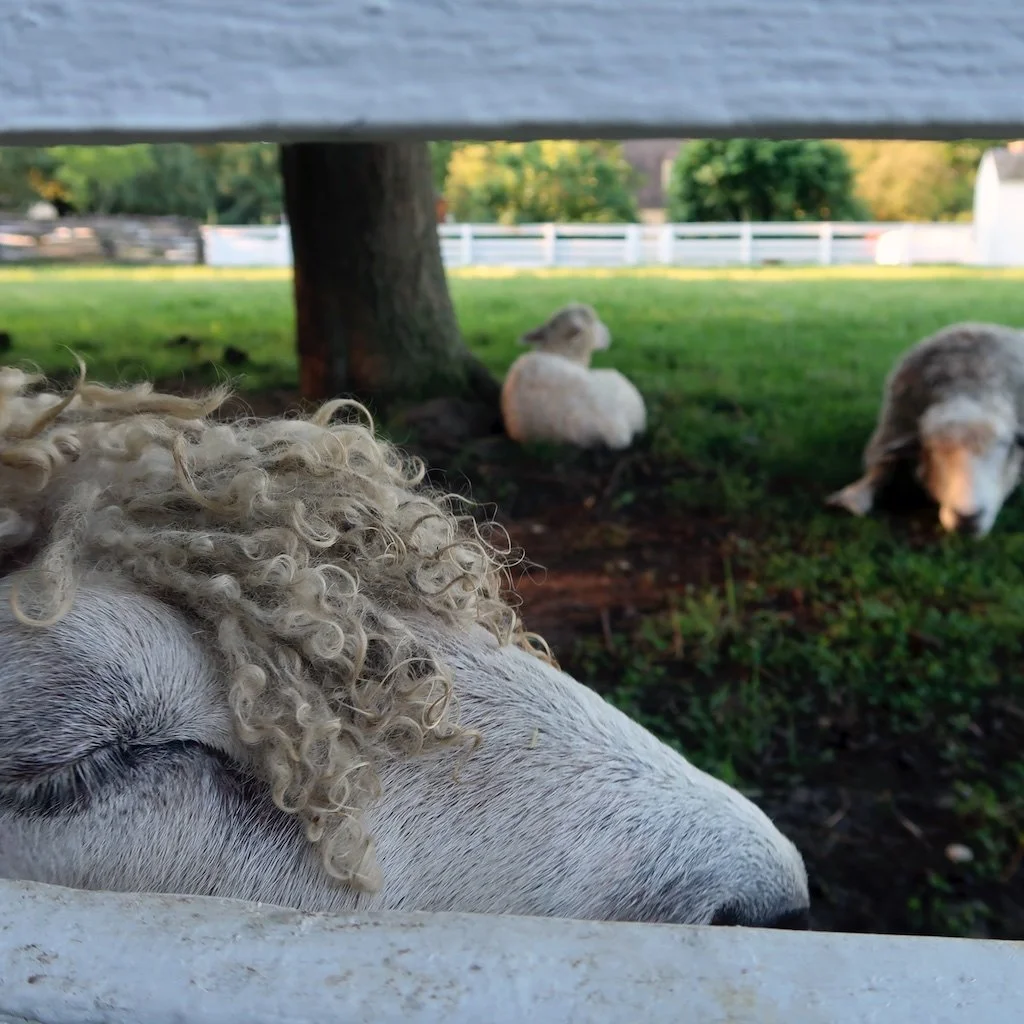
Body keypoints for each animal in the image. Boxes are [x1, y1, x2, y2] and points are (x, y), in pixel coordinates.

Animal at [826, 322, 1024, 538]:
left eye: (1005, 445)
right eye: (934, 450)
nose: (967, 518)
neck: (968, 386)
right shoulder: (891, 430)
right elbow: (879, 468)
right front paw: (852, 497)